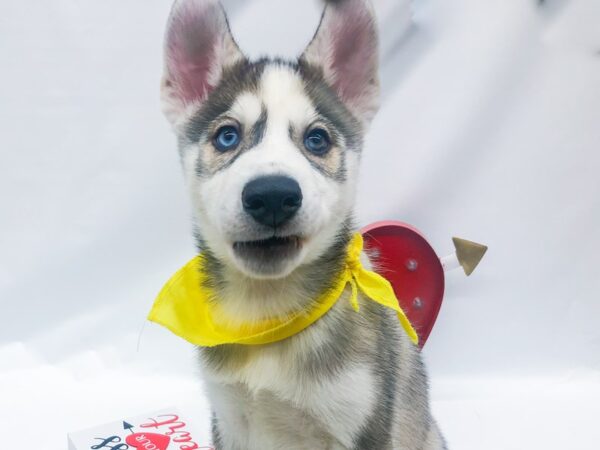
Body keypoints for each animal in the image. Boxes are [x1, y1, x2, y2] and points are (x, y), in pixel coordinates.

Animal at [158, 0, 446, 448]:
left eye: (317, 140)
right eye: (227, 136)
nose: (273, 196)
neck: (268, 318)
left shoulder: (365, 422)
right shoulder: (228, 419)